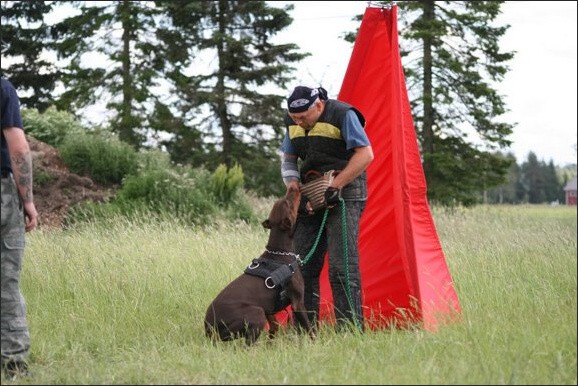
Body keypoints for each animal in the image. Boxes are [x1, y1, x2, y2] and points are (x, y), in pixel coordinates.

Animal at [204, 185, 312, 346]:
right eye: (288, 203)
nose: (293, 186)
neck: (279, 252)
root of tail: (209, 330)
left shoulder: (269, 310)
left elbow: (274, 328)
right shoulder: (297, 302)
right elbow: (310, 329)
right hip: (256, 313)